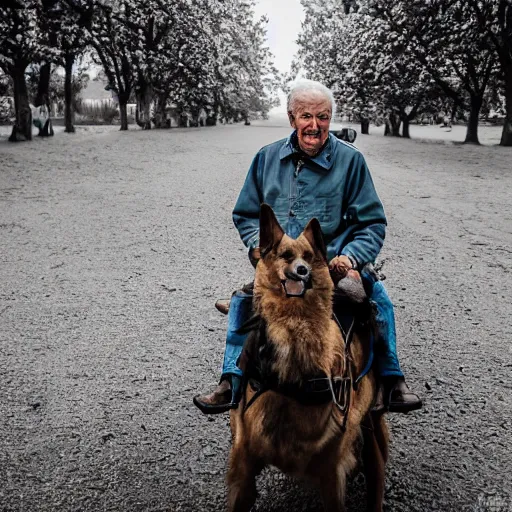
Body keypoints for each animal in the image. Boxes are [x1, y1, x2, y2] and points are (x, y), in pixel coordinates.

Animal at [228, 205, 388, 512]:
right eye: (284, 256)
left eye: (309, 256)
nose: (302, 271)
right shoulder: (243, 463)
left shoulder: (331, 474)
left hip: (372, 429)